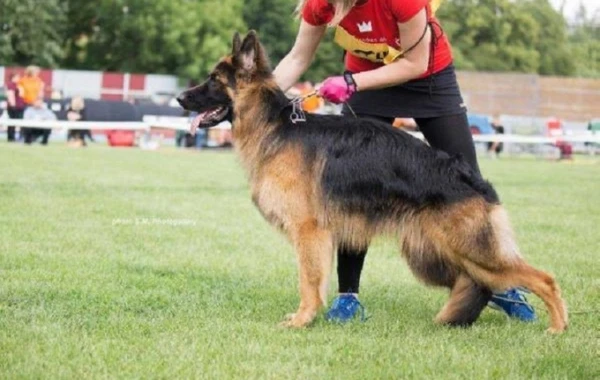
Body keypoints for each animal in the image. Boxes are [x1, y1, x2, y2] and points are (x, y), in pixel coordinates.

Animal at [177, 31, 568, 332]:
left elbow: (308, 281)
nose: (179, 97)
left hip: (468, 250)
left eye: (214, 80)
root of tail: (475, 181)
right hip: (436, 254)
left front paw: (303, 320)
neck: (275, 126)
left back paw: (557, 327)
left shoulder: (309, 232)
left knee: (542, 278)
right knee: (478, 282)